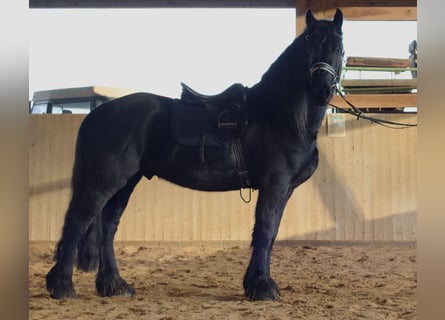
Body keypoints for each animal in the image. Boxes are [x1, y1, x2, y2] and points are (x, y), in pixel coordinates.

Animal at [46, 8, 344, 302]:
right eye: (309, 43)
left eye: (339, 48)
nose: (322, 90)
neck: (280, 116)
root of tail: (97, 114)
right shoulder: (274, 186)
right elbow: (265, 230)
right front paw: (262, 286)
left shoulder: (284, 190)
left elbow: (270, 234)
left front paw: (256, 283)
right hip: (106, 181)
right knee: (77, 221)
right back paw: (62, 286)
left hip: (127, 181)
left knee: (108, 225)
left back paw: (114, 284)